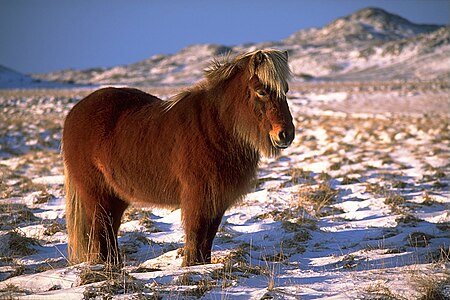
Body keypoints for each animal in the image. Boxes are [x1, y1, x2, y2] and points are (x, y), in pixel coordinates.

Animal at [63, 49, 296, 268]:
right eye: (262, 91)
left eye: (285, 90)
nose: (286, 134)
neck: (216, 126)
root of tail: (75, 111)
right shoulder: (198, 196)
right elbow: (196, 233)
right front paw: (190, 266)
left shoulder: (217, 198)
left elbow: (208, 237)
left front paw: (202, 265)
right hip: (96, 193)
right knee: (101, 230)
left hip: (116, 195)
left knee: (110, 230)